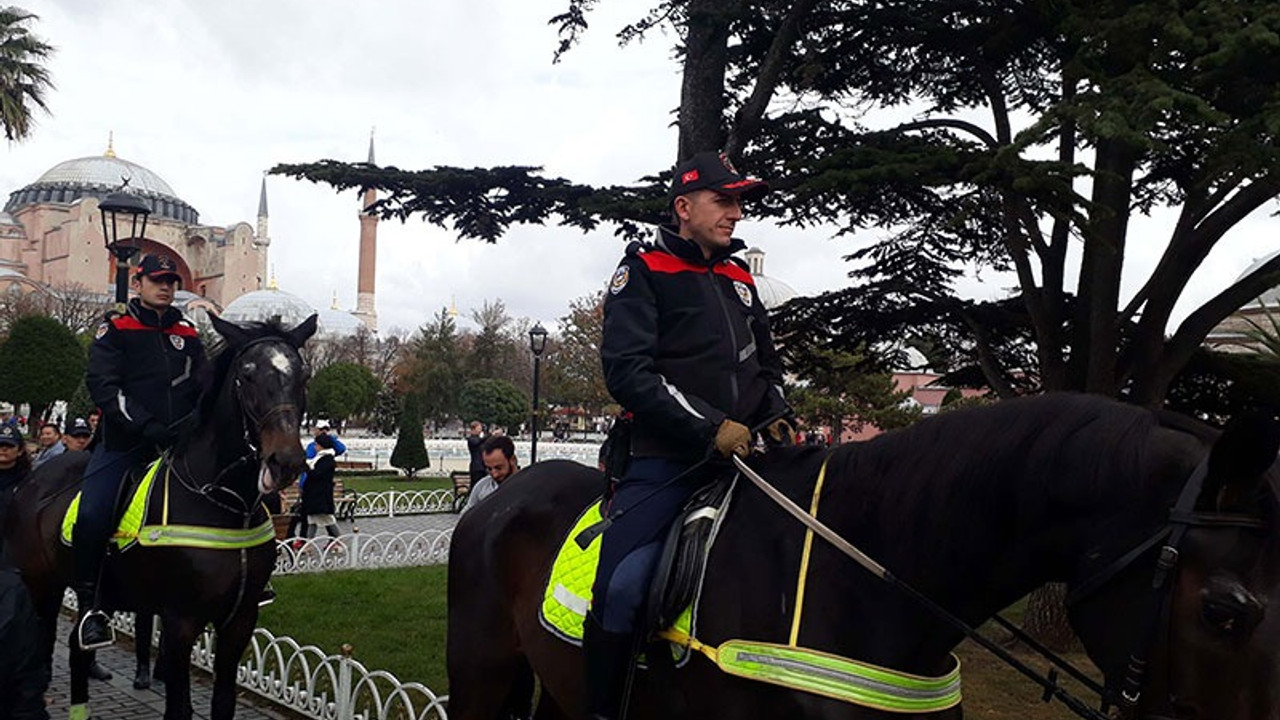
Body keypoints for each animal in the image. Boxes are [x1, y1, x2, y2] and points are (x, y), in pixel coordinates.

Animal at [5, 313, 314, 717]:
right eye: (246, 374)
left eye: (303, 375)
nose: (286, 462)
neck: (226, 506)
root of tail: (32, 480)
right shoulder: (180, 621)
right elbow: (179, 707)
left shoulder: (240, 620)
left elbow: (224, 703)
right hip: (41, 584)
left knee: (75, 646)